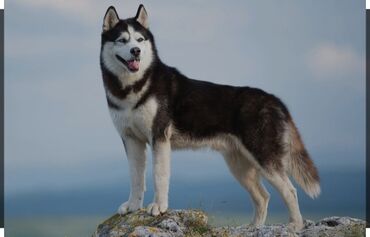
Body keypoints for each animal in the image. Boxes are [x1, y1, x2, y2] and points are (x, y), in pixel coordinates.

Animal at [99, 4, 320, 231]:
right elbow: (136, 177)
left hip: (264, 157)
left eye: (140, 39)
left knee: (290, 191)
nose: (136, 51)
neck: (133, 87)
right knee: (263, 196)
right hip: (239, 165)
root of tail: (274, 99)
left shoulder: (159, 137)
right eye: (122, 40)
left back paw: (295, 225)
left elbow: (158, 175)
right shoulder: (131, 140)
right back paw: (254, 227)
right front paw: (133, 206)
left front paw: (159, 206)